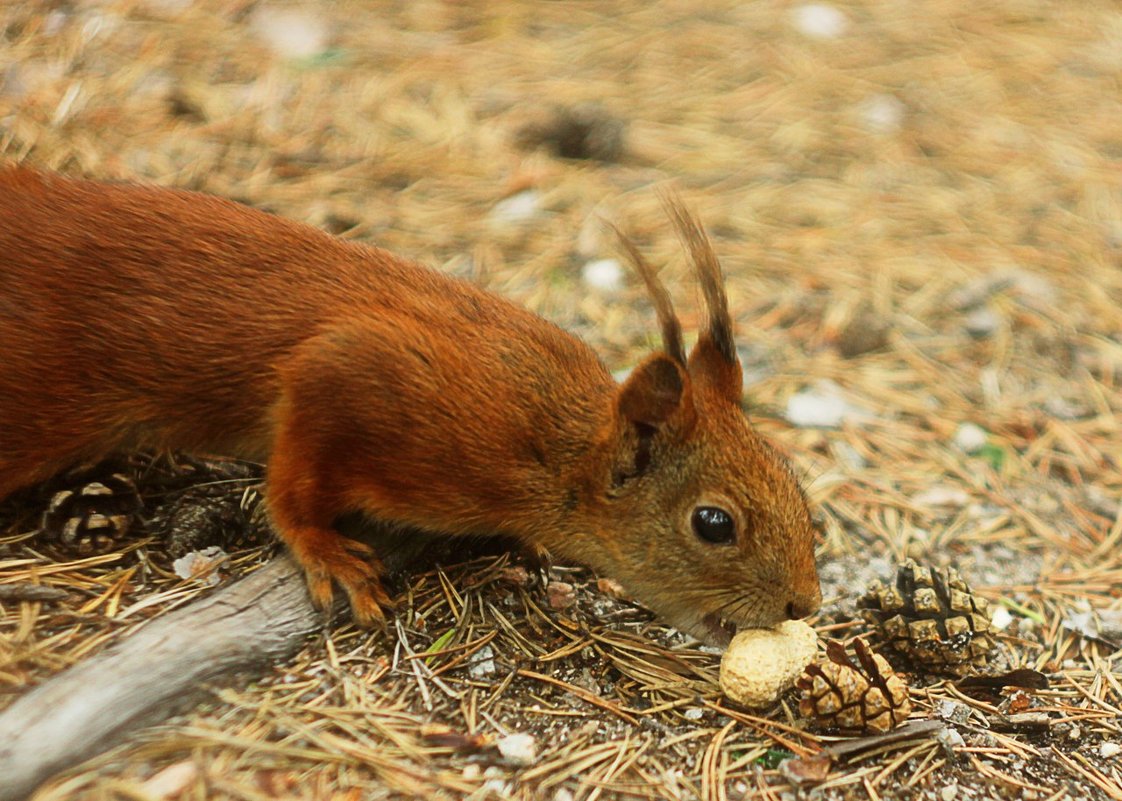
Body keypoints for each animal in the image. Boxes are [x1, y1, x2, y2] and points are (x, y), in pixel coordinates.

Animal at [2, 167, 825, 641]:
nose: (805, 606)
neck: (553, 445)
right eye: (713, 524)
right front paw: (324, 549)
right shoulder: (360, 378)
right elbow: (292, 480)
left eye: (793, 481)